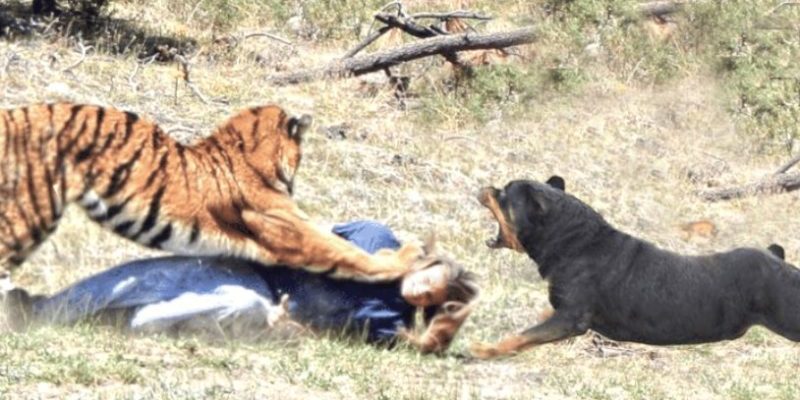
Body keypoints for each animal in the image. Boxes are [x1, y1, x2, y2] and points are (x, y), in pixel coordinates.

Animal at [472, 177, 796, 358]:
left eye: (504, 194)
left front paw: (484, 351)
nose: (483, 187)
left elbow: (521, 335)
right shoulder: (562, 313)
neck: (573, 241)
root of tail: (777, 259)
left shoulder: (571, 319)